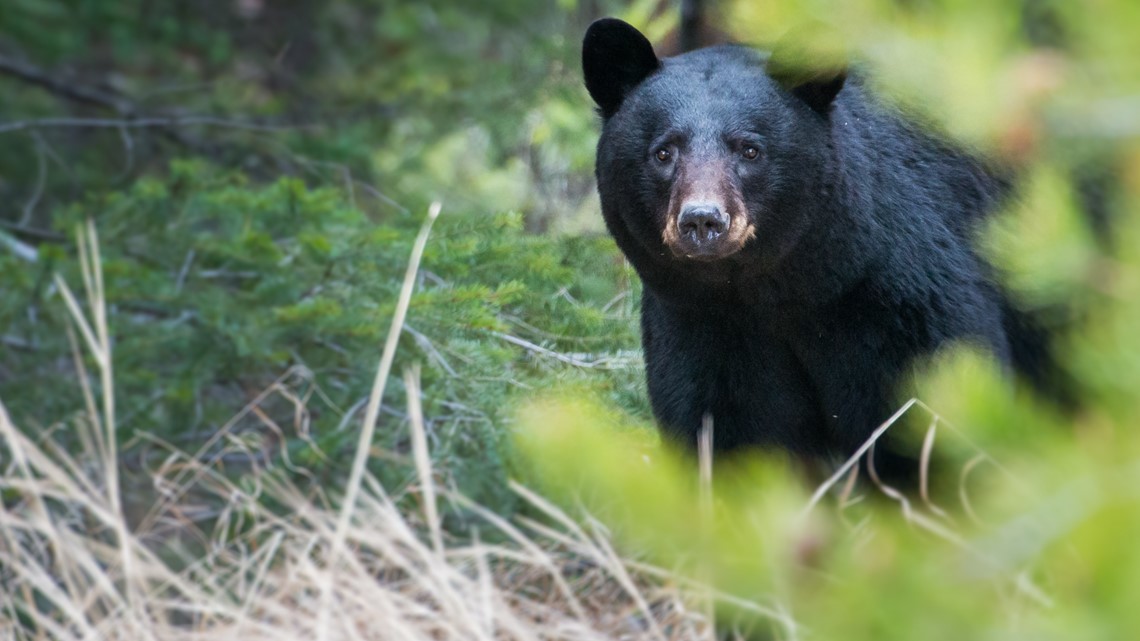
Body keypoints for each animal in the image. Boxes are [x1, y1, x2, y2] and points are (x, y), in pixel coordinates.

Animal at [579, 18, 1035, 469]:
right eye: (663, 152)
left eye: (750, 149)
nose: (703, 219)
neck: (786, 291)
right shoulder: (703, 323)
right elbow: (729, 429)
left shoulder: (903, 301)